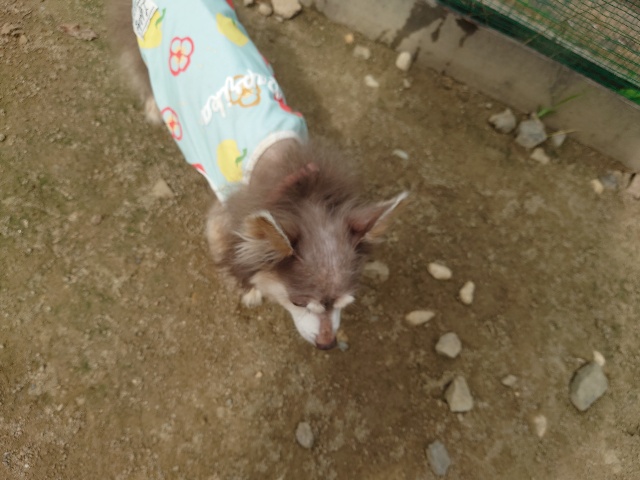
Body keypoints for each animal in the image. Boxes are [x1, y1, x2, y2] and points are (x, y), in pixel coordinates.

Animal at [109, 0, 407, 349]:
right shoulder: (225, 216)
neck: (297, 185)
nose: (327, 344)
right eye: (299, 303)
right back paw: (155, 109)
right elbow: (232, 252)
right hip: (144, 45)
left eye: (346, 303)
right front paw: (248, 287)